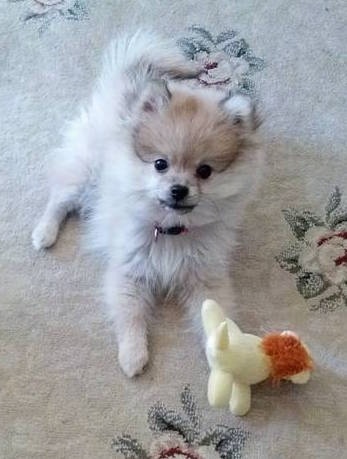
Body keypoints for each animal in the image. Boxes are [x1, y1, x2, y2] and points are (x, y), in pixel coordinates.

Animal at [33, 31, 264, 378]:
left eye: (204, 171)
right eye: (160, 164)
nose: (178, 189)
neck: (170, 230)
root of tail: (124, 87)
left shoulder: (205, 277)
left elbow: (214, 318)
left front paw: (224, 354)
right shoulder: (129, 271)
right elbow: (132, 316)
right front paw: (133, 354)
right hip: (85, 173)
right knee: (59, 199)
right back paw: (44, 232)